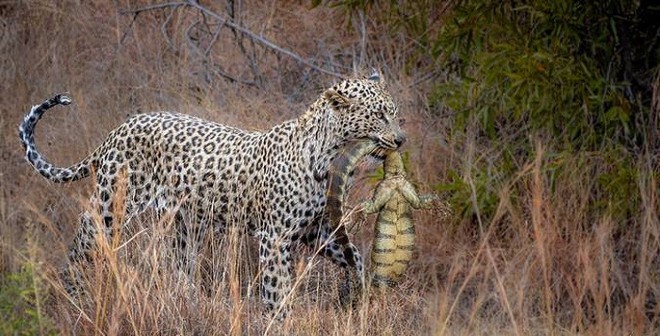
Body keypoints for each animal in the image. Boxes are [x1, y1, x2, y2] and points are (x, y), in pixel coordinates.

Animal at [18, 73, 404, 318]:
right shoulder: (274, 237)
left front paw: (367, 295)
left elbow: (354, 256)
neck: (327, 152)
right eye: (379, 115)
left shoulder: (315, 230)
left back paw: (190, 303)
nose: (401, 139)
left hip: (185, 223)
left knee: (180, 265)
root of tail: (118, 129)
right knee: (88, 228)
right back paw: (72, 285)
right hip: (115, 201)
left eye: (394, 113)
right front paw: (280, 320)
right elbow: (276, 288)